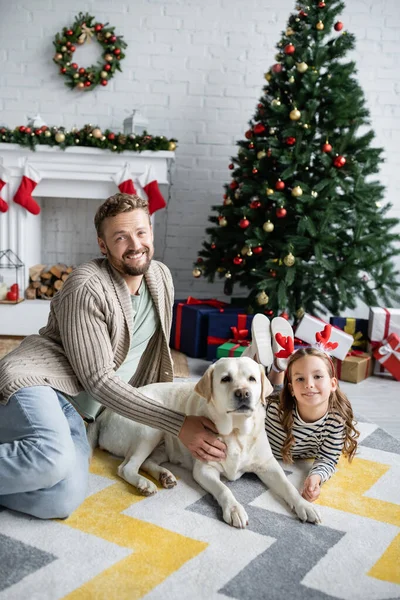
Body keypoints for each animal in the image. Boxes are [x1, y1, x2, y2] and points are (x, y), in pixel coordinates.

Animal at [86, 358, 318, 528]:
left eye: (252, 379)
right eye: (225, 379)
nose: (243, 393)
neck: (236, 432)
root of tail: (104, 413)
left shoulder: (268, 465)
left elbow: (288, 486)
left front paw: (304, 505)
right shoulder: (205, 469)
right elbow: (224, 489)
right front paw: (234, 509)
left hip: (162, 443)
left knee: (146, 463)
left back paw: (164, 475)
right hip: (150, 429)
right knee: (126, 467)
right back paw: (145, 484)